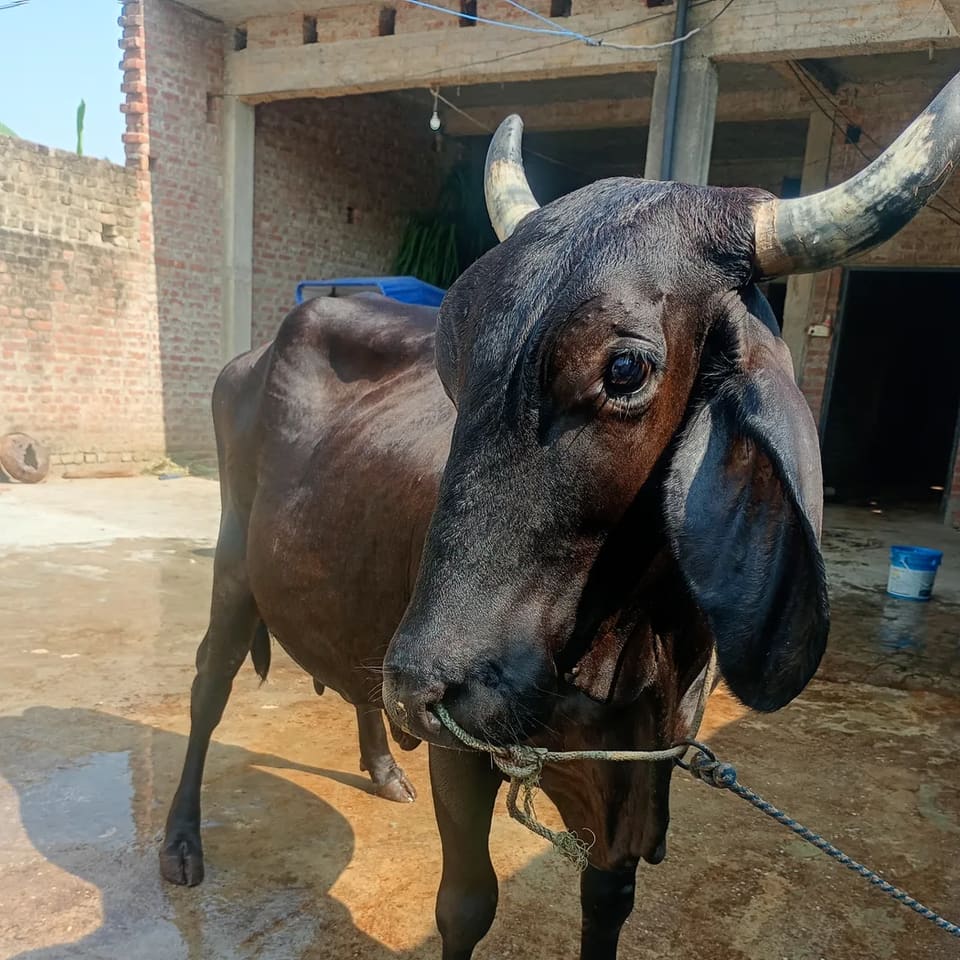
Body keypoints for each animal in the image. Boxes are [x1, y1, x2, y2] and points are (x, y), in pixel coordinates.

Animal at [161, 70, 960, 959]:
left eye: (625, 368)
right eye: (453, 355)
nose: (422, 686)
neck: (628, 657)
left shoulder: (637, 779)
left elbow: (607, 902)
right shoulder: (465, 752)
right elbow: (466, 904)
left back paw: (383, 766)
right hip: (236, 567)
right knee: (207, 685)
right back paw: (182, 842)